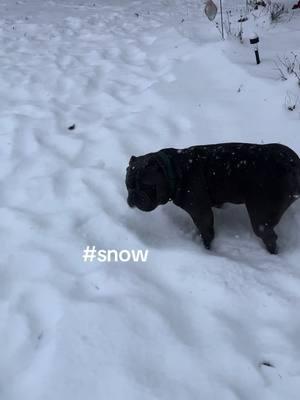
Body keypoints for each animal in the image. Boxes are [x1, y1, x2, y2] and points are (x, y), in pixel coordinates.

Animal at [125, 144, 300, 255]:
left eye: (146, 186)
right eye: (128, 185)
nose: (133, 196)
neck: (174, 169)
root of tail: (292, 165)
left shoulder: (201, 212)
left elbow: (206, 231)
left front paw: (206, 249)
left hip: (260, 216)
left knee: (268, 235)